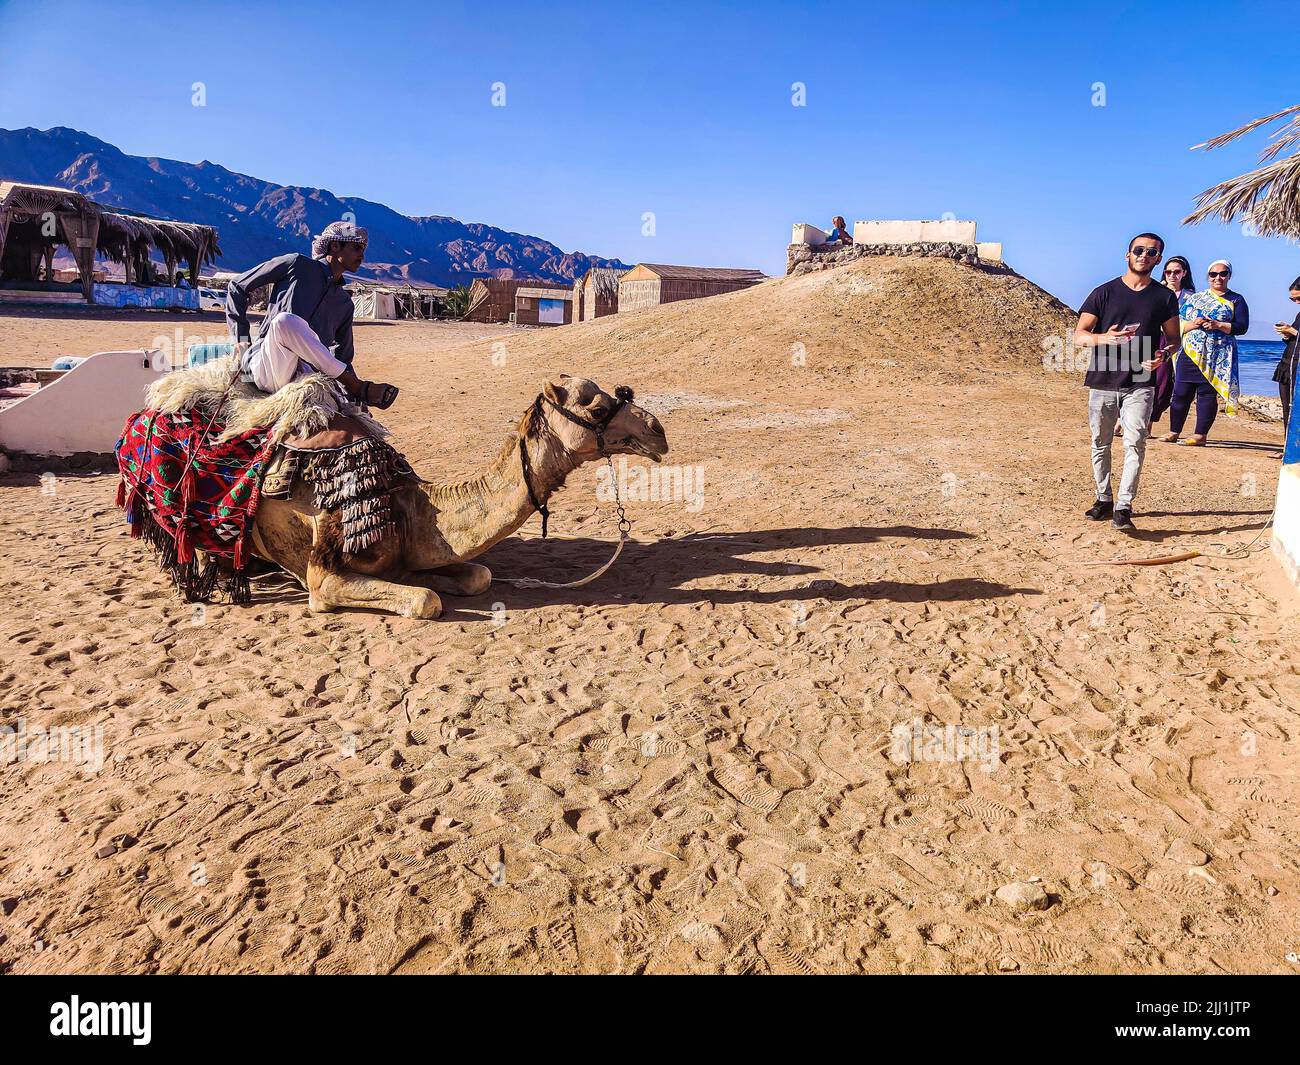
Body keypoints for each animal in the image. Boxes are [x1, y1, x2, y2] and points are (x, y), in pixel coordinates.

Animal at [239, 374, 670, 621]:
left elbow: (477, 576)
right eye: (596, 408)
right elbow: (424, 601)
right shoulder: (323, 576)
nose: (658, 431)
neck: (404, 508)